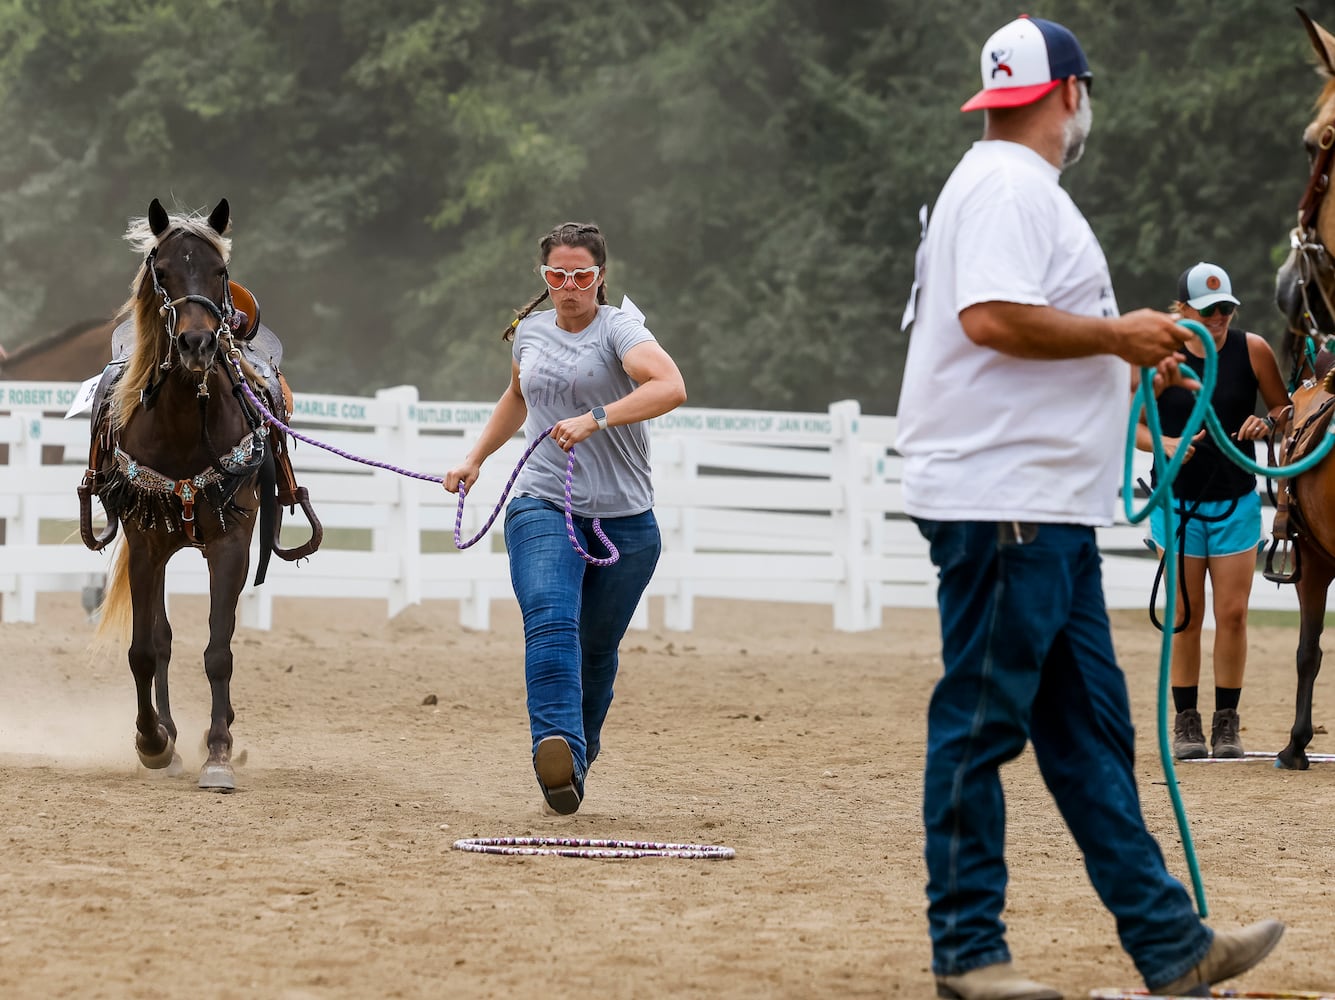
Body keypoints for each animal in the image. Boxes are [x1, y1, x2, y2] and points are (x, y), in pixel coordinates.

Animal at [85, 197, 320, 790]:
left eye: (218, 271)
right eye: (164, 271)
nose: (197, 343)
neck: (183, 427)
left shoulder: (230, 545)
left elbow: (218, 650)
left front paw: (217, 753)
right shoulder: (146, 545)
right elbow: (145, 649)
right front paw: (151, 742)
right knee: (161, 637)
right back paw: (166, 734)